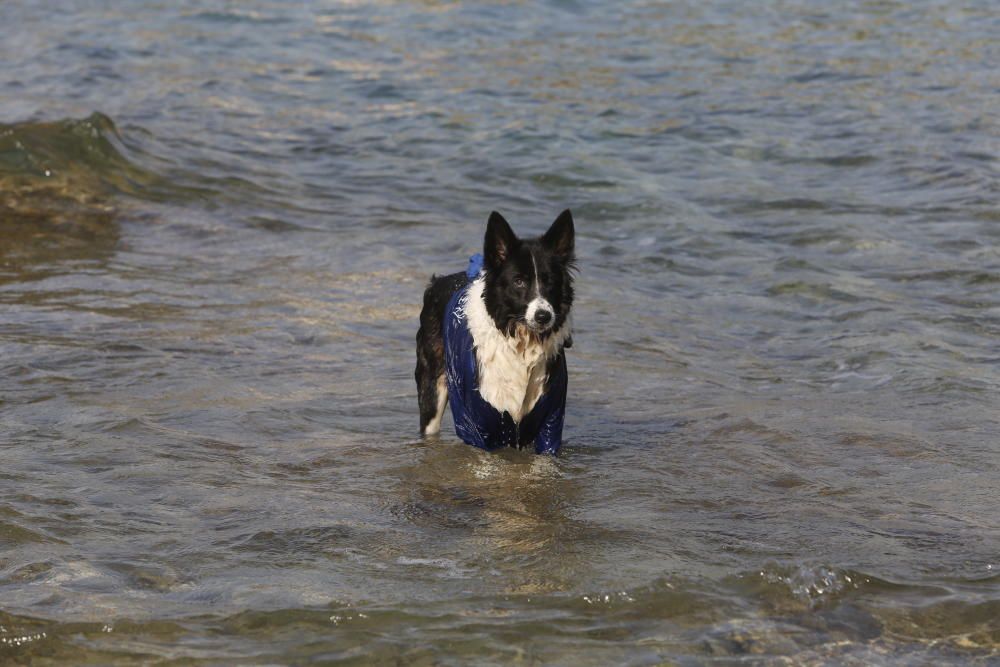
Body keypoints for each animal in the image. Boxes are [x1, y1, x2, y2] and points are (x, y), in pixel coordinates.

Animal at [416, 211, 576, 456]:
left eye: (550, 281)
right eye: (518, 281)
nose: (543, 316)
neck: (521, 344)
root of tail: (438, 282)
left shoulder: (550, 421)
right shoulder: (479, 424)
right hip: (433, 386)